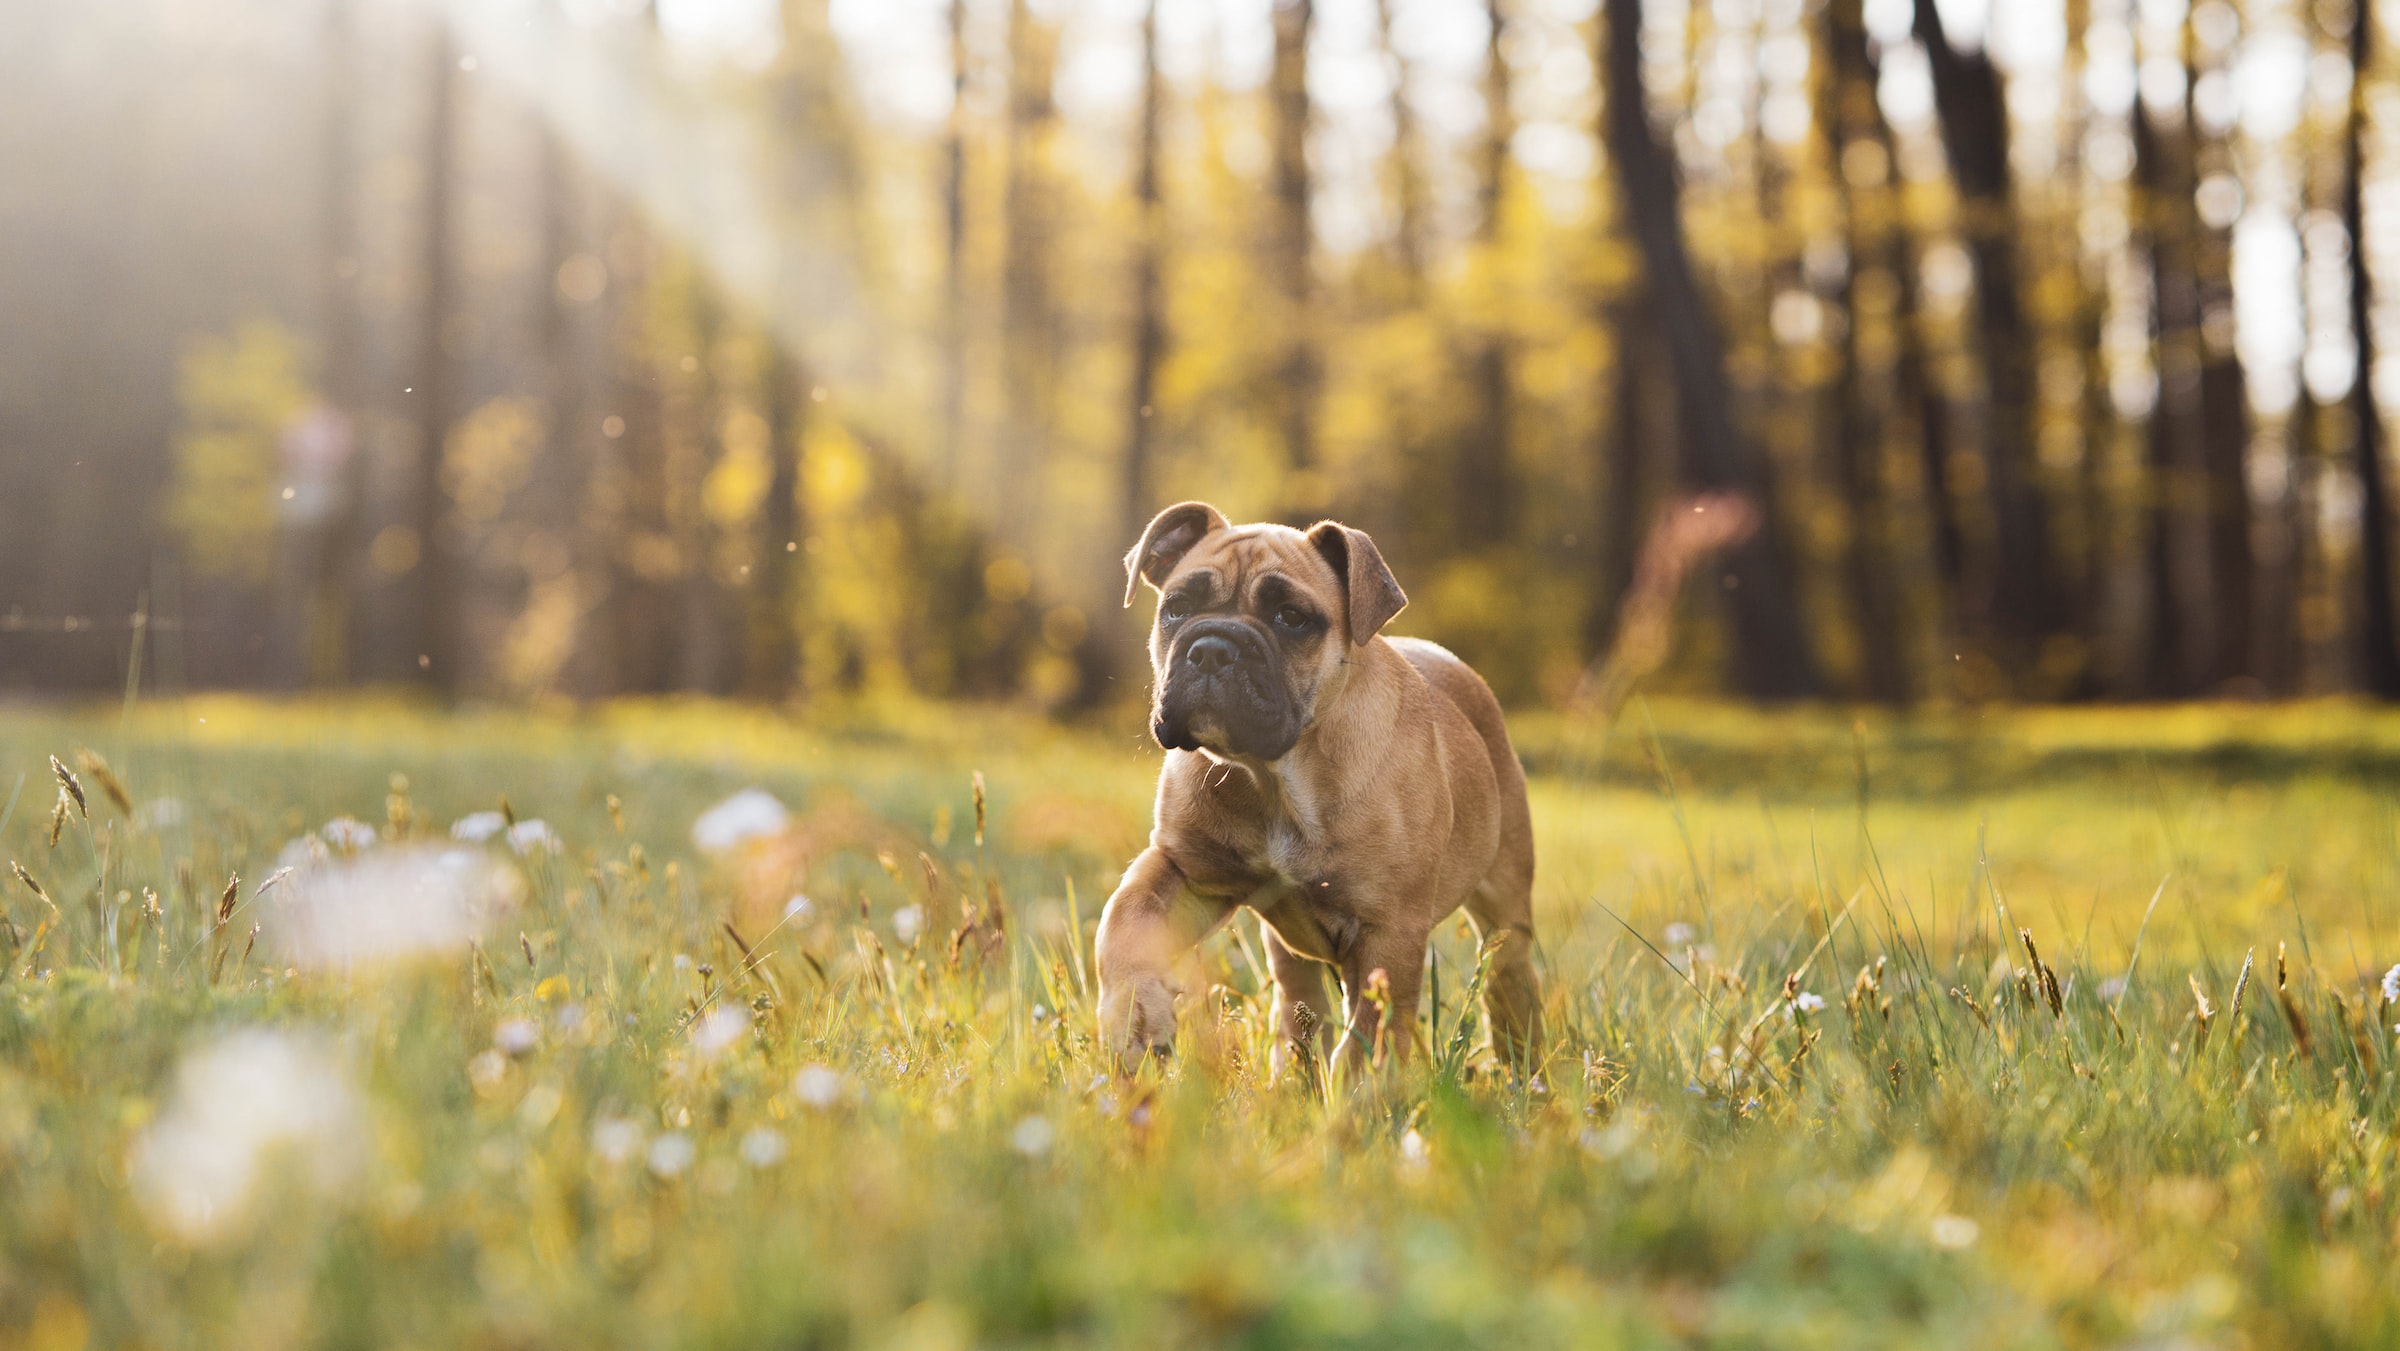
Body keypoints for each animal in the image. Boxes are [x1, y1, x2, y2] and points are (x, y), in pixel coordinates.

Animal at [1089, 501, 1536, 1075]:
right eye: (1177, 607)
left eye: (1292, 618)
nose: (1211, 648)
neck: (1277, 776)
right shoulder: (1186, 871)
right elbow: (1124, 920)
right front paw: (1136, 1019)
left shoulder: (1389, 932)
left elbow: (1375, 1031)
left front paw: (1361, 1094)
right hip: (1290, 948)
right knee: (1299, 997)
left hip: (1506, 901)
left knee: (1509, 979)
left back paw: (1522, 1065)